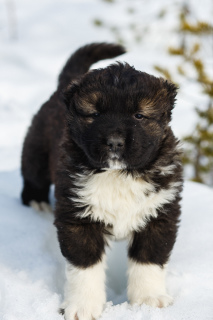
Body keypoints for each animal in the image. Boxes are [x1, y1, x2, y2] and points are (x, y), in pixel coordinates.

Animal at [20, 43, 182, 320]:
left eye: (139, 115)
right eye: (94, 114)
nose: (115, 142)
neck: (118, 175)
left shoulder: (160, 213)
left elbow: (149, 259)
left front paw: (148, 300)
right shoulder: (78, 218)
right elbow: (85, 266)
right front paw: (83, 307)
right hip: (36, 150)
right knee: (32, 176)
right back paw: (36, 202)